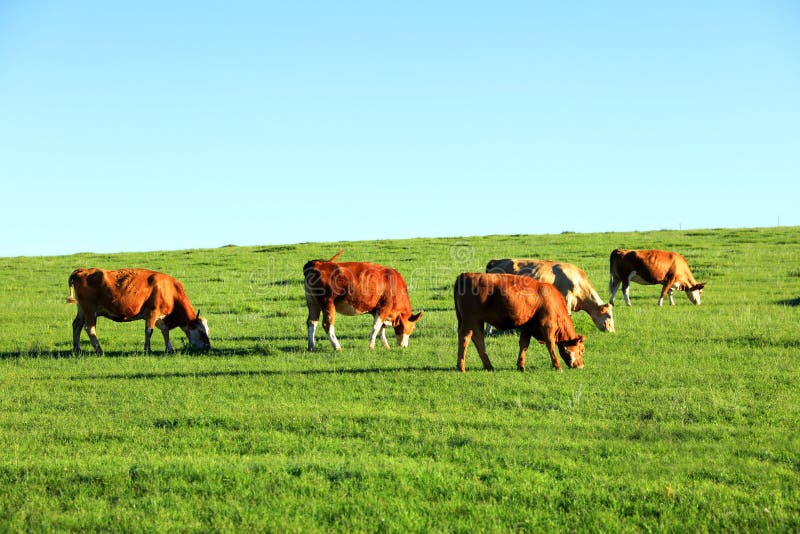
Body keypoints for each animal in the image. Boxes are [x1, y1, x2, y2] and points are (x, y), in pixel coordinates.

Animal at [66, 268, 210, 355]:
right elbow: (149, 331)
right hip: (90, 311)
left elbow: (165, 331)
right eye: (201, 331)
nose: (208, 347)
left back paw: (77, 349)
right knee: (89, 328)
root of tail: (82, 270)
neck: (169, 290)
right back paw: (99, 350)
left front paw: (169, 349)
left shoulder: (161, 317)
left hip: (82, 310)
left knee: (76, 325)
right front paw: (148, 350)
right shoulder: (152, 313)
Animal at [454, 272, 585, 372]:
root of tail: (466, 275)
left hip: (476, 322)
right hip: (470, 321)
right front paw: (557, 366)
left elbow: (524, 344)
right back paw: (461, 367)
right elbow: (551, 345)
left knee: (478, 340)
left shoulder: (528, 327)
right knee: (465, 339)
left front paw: (521, 365)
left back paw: (488, 366)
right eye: (582, 350)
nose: (581, 366)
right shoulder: (548, 326)